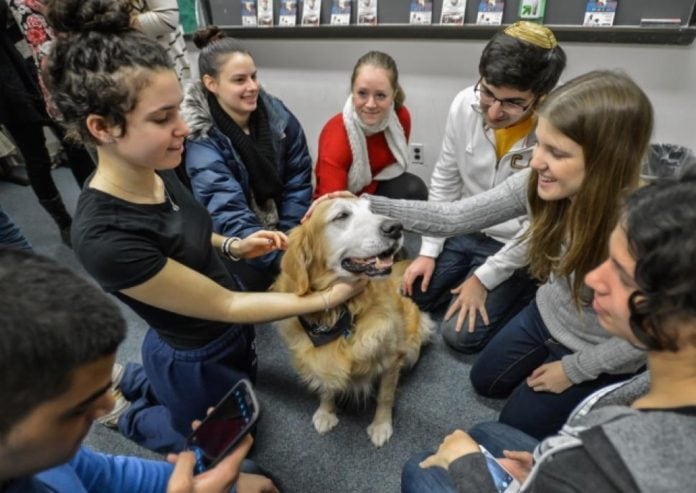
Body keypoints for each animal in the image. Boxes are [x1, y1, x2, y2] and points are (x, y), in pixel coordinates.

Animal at [274, 196, 432, 446]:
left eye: (371, 210)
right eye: (341, 216)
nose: (396, 227)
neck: (341, 313)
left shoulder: (390, 359)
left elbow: (385, 396)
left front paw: (381, 425)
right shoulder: (320, 357)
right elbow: (327, 383)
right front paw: (326, 412)